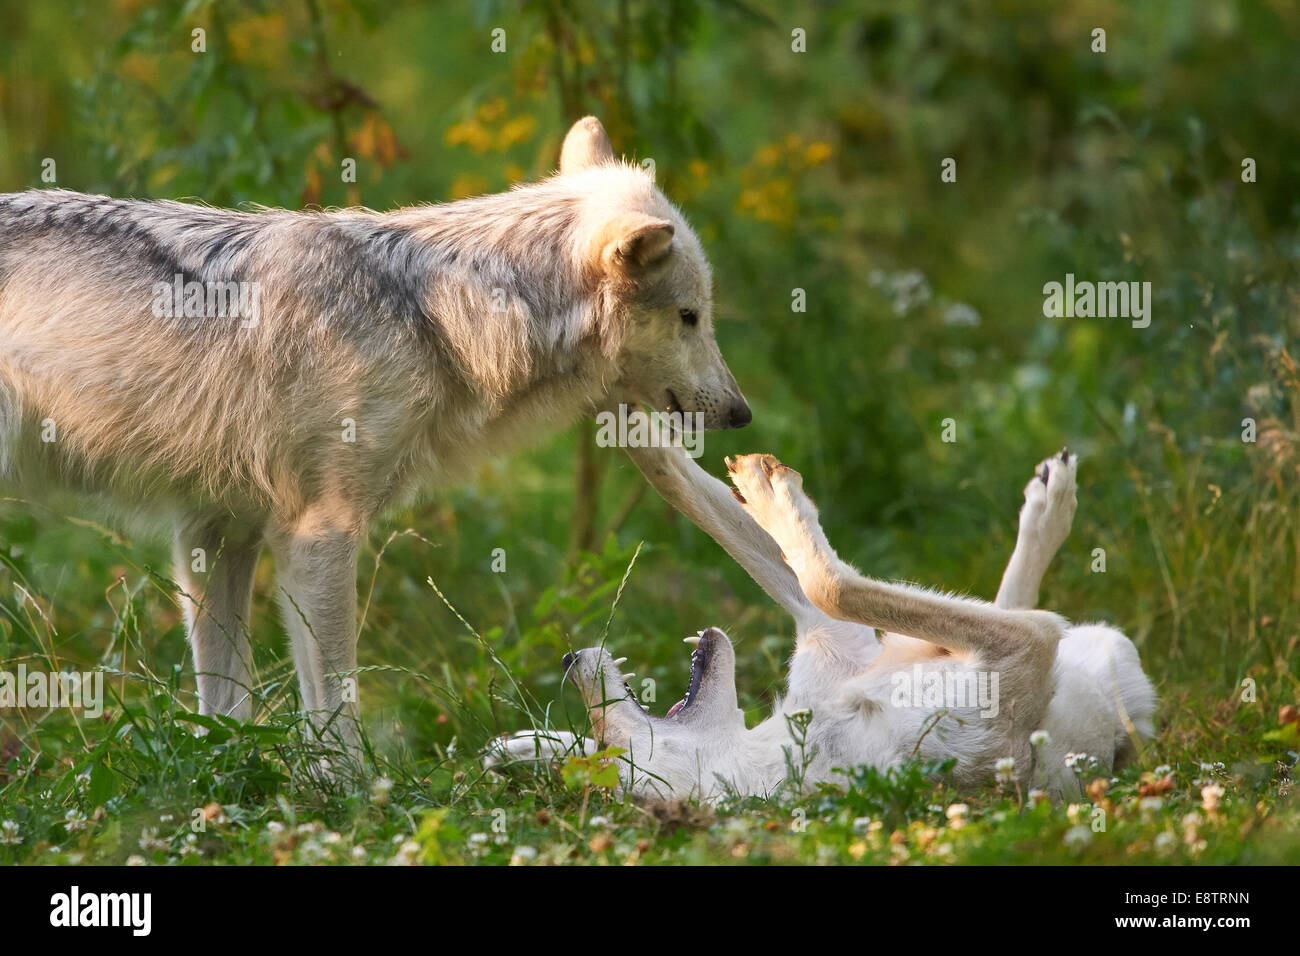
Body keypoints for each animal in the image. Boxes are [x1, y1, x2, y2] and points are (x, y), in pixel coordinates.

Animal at [0, 119, 754, 743]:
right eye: (690, 316)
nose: (743, 413)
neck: (432, 321)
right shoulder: (320, 534)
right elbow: (336, 707)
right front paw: (351, 800)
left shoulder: (219, 531)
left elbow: (227, 708)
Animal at [488, 434, 1159, 801]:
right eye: (609, 751)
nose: (569, 657)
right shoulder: (1022, 649)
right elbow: (831, 582)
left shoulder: (833, 638)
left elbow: (681, 484)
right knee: (1031, 612)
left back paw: (1050, 496)